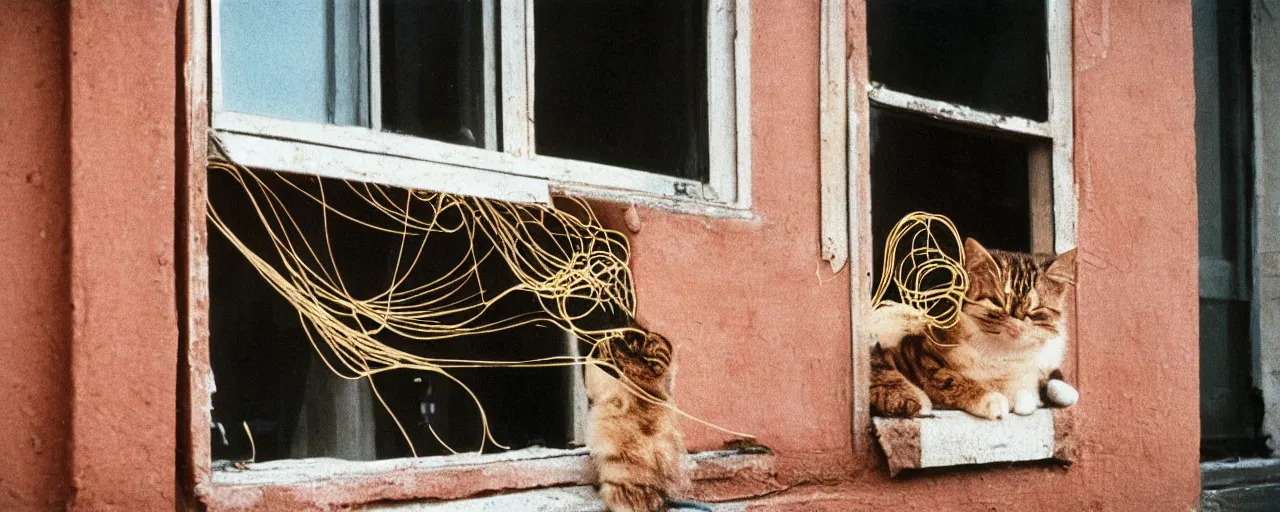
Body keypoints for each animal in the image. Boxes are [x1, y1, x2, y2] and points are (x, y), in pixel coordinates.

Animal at [870, 238, 1080, 417]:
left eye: (1035, 310)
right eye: (996, 302)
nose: (1017, 326)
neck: (1001, 353)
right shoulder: (920, 356)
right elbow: (949, 380)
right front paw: (991, 400)